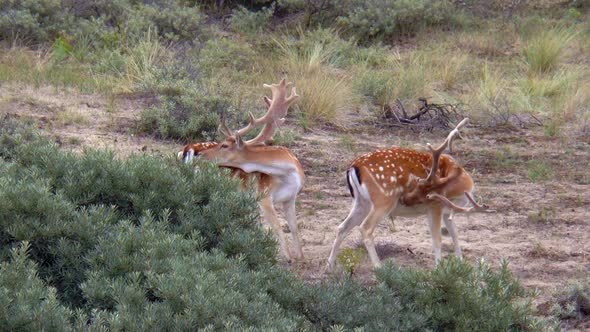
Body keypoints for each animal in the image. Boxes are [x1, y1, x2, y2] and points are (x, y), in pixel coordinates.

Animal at [180, 79, 306, 260]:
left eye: (225, 145)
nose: (202, 155)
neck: (289, 174)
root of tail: (186, 149)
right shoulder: (263, 197)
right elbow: (277, 227)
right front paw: (288, 259)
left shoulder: (290, 197)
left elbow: (294, 227)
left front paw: (300, 257)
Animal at [328, 118, 494, 272]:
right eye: (418, 187)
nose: (405, 200)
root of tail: (353, 167)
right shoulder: (436, 206)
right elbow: (437, 239)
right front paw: (439, 269)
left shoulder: (447, 211)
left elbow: (455, 235)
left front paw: (461, 264)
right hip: (383, 200)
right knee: (365, 228)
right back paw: (379, 268)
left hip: (361, 202)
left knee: (342, 227)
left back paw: (329, 267)